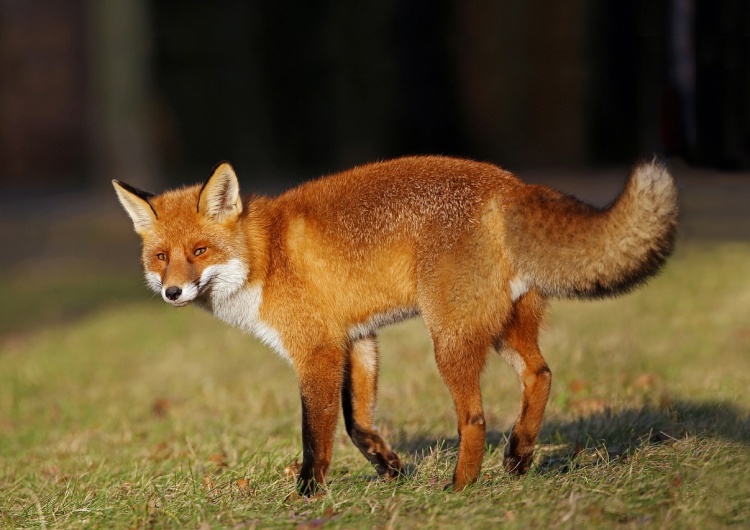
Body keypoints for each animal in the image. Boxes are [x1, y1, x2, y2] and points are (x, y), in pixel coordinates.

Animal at [113, 155, 680, 492]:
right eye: (162, 257)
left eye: (199, 251)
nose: (172, 291)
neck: (266, 256)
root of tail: (510, 183)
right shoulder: (358, 339)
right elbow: (358, 423)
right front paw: (391, 469)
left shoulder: (317, 350)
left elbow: (315, 435)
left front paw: (308, 496)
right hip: (501, 329)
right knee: (540, 376)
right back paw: (518, 458)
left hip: (449, 340)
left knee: (475, 419)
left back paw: (460, 488)